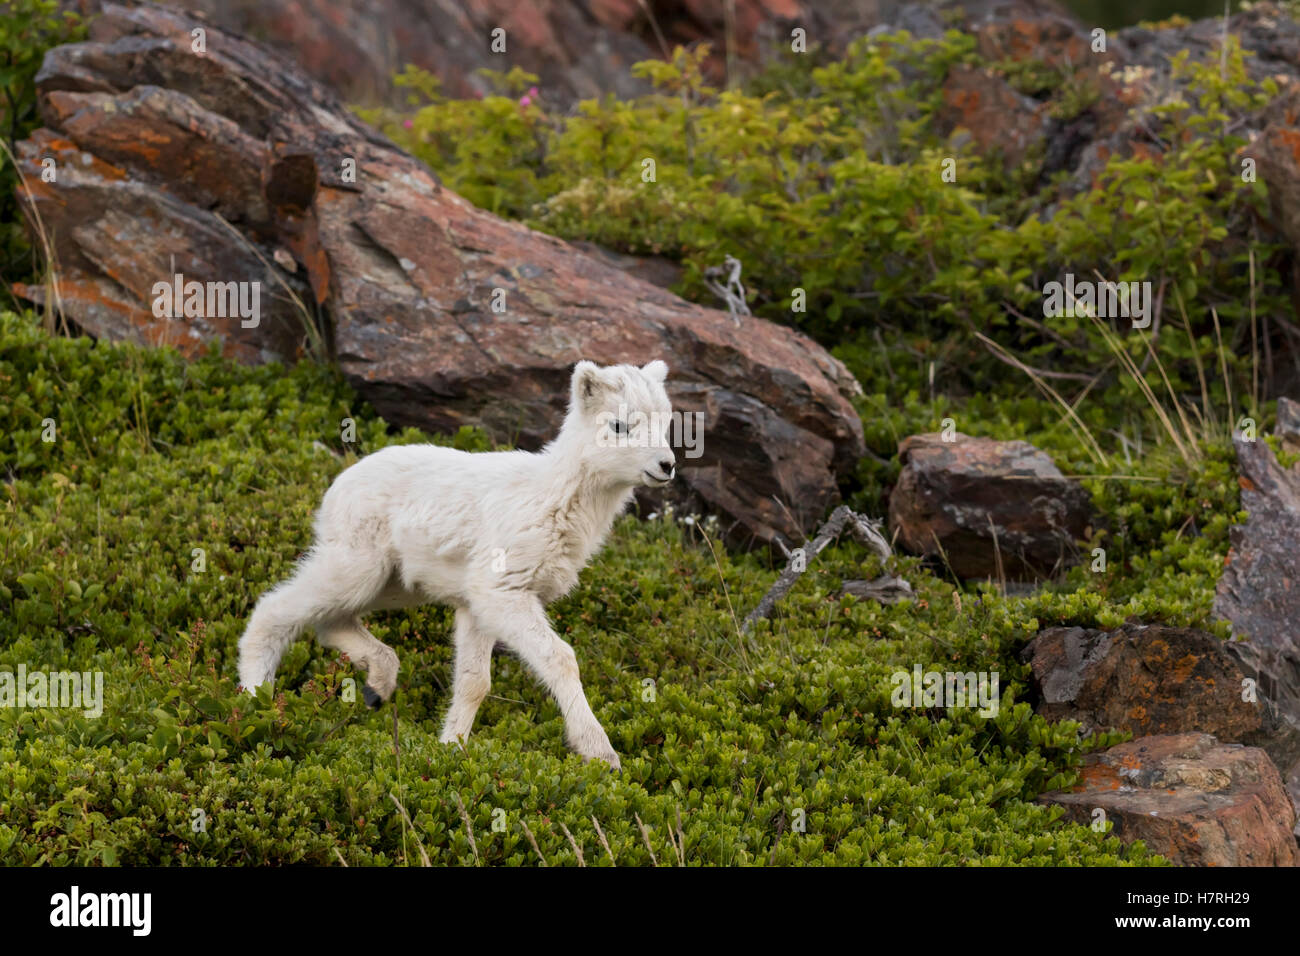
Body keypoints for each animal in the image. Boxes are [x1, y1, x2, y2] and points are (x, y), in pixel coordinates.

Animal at [236, 358, 681, 770]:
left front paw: (450, 749)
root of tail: (335, 489)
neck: (553, 498)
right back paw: (256, 699)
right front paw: (600, 754)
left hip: (393, 584)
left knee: (331, 621)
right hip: (356, 565)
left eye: (666, 423)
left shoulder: (475, 605)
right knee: (274, 609)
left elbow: (473, 682)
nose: (667, 466)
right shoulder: (501, 592)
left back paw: (378, 684)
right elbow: (560, 659)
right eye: (619, 425)